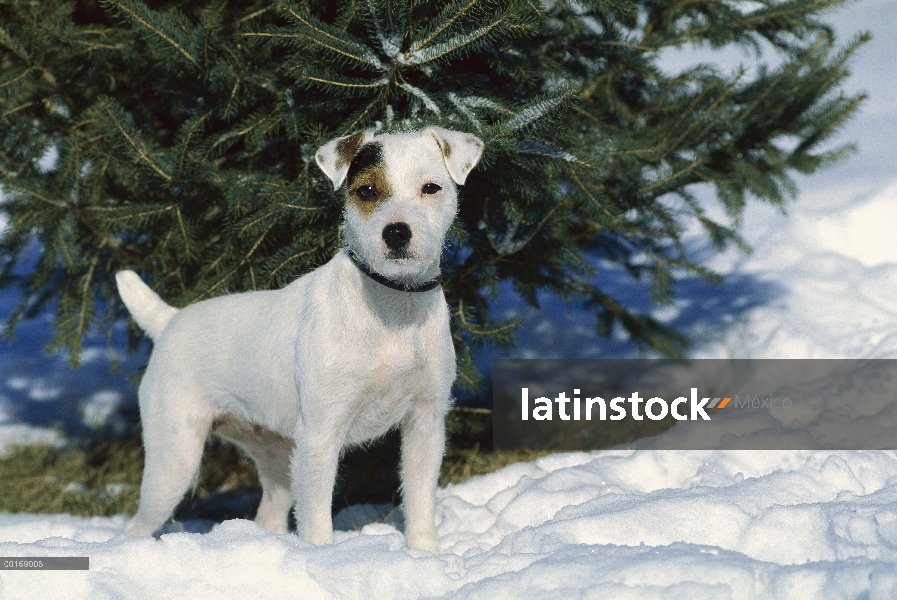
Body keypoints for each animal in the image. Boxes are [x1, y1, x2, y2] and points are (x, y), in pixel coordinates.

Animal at [116, 126, 486, 552]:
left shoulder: (425, 423)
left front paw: (424, 554)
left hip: (277, 454)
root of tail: (170, 321)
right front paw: (324, 557)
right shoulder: (321, 435)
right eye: (366, 191)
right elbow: (316, 521)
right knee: (137, 524)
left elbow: (420, 502)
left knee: (268, 513)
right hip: (174, 458)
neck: (392, 307)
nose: (396, 232)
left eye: (431, 188)